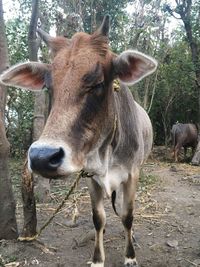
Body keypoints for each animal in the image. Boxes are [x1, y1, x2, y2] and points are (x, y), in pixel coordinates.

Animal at [0, 15, 158, 266]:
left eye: (98, 83)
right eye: (49, 87)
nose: (42, 157)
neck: (106, 153)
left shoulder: (132, 174)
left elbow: (128, 216)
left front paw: (130, 255)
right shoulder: (91, 177)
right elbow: (98, 218)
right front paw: (97, 258)